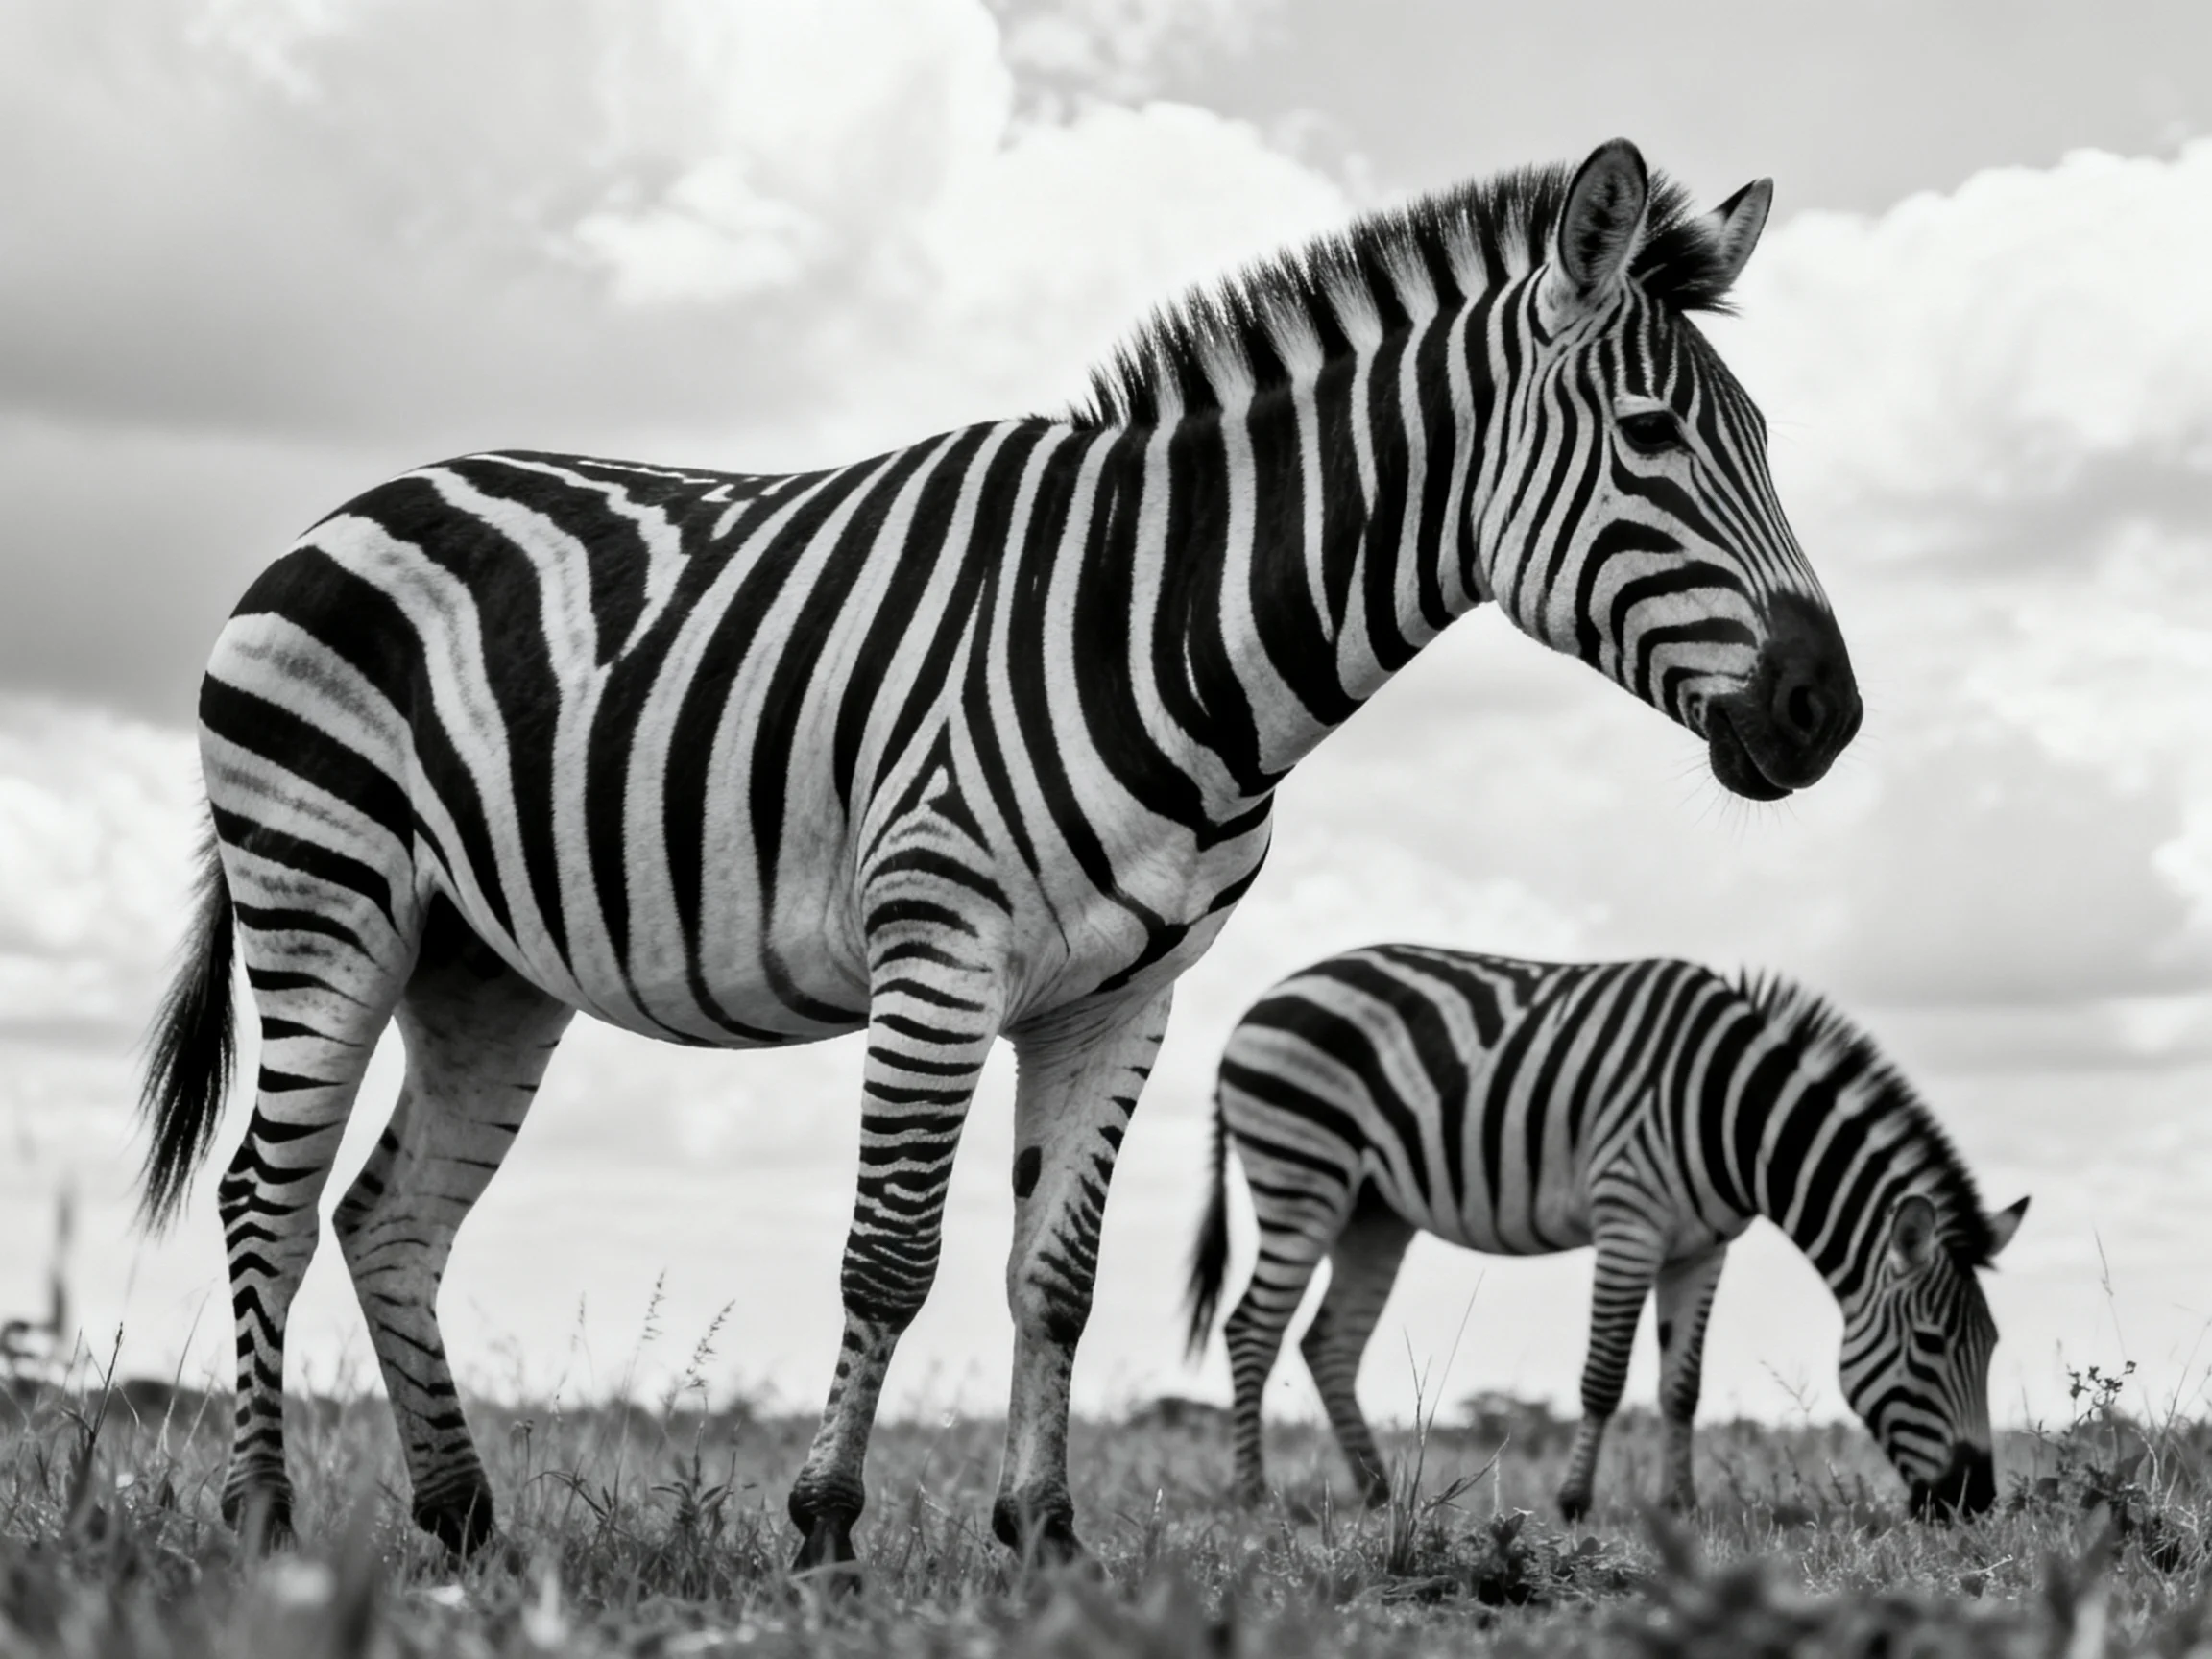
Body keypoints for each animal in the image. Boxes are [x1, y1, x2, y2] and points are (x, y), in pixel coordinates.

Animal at [135, 138, 1860, 1570]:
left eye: (1770, 438)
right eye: (1649, 435)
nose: (1825, 712)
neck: (1165, 628)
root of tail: (350, 505)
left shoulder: (1126, 993)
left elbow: (1055, 1274)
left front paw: (1041, 1533)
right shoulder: (938, 948)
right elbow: (890, 1255)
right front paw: (827, 1528)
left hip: (481, 963)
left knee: (390, 1221)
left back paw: (463, 1522)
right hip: (324, 892)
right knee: (267, 1201)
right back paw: (266, 1521)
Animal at [1186, 946, 2029, 1521]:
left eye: (1992, 1347)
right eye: (1930, 1346)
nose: (1974, 1502)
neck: (1736, 1117)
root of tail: (1260, 1003)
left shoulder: (1703, 1247)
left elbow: (1682, 1385)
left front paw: (1681, 1504)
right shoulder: (1630, 1218)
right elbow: (1605, 1373)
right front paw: (1572, 1501)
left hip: (1372, 1213)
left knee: (1327, 1343)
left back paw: (1377, 1492)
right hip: (1301, 1174)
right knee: (1252, 1328)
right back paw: (1252, 1494)